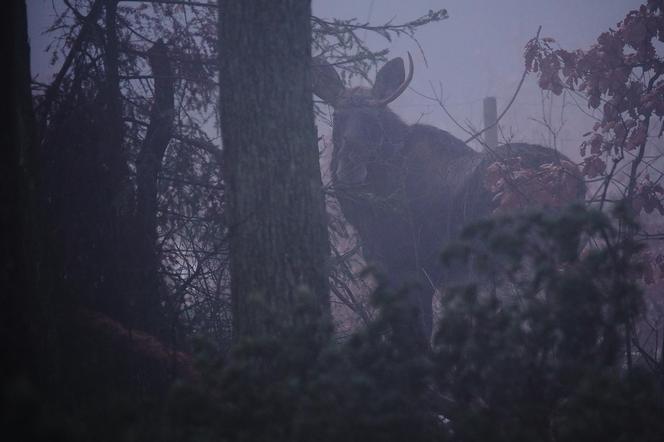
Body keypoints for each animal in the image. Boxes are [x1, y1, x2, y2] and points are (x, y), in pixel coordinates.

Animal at [314, 55, 584, 346]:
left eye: (375, 119)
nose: (350, 165)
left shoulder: (406, 267)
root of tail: (574, 179)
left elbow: (417, 334)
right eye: (337, 116)